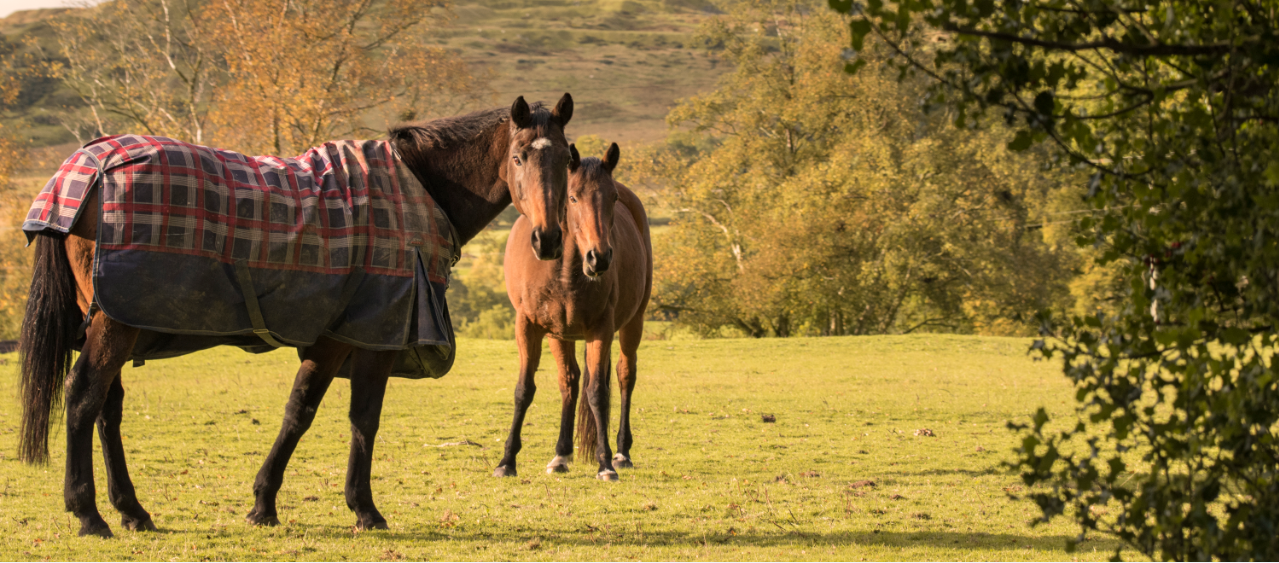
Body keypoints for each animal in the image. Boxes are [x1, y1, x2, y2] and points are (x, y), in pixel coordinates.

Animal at [18, 93, 575, 537]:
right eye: (519, 156)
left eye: (568, 162)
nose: (548, 239)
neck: (417, 189)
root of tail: (85, 168)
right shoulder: (370, 335)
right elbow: (348, 417)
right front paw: (361, 508)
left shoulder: (340, 337)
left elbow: (304, 413)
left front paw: (265, 503)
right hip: (117, 323)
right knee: (83, 397)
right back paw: (88, 513)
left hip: (115, 318)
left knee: (107, 408)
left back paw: (132, 510)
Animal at [488, 142, 649, 481]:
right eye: (573, 197)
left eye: (613, 197)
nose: (599, 258)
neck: (563, 269)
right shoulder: (529, 327)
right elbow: (524, 390)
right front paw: (506, 461)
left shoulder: (600, 330)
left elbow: (598, 393)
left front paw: (604, 465)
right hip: (559, 335)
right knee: (570, 382)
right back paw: (561, 454)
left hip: (634, 323)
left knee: (625, 376)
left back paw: (621, 453)